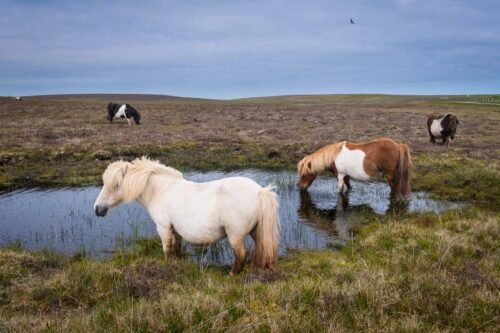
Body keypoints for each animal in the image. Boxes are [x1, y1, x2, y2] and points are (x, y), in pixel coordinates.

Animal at [94, 157, 282, 274]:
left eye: (115, 185)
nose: (97, 209)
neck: (161, 191)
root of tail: (260, 191)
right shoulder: (175, 229)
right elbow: (177, 248)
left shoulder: (163, 227)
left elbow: (167, 249)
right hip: (255, 231)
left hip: (235, 235)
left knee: (241, 255)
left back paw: (232, 274)